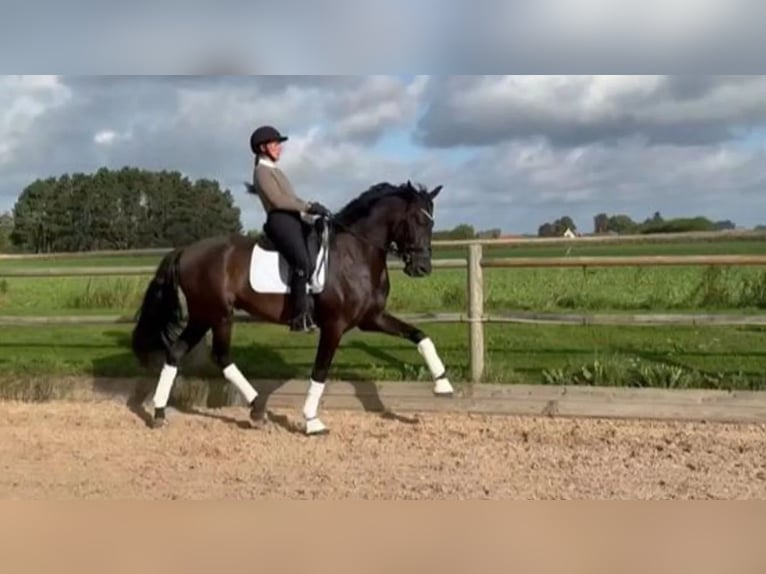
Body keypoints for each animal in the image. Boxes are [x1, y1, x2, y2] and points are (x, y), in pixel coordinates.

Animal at [130, 180, 454, 435]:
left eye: (432, 222)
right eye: (417, 220)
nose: (422, 268)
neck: (355, 253)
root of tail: (185, 250)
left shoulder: (371, 318)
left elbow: (420, 335)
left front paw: (443, 385)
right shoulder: (334, 326)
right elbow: (320, 370)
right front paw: (312, 421)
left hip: (205, 316)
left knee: (178, 353)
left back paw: (162, 413)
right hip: (216, 314)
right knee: (218, 356)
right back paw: (255, 408)